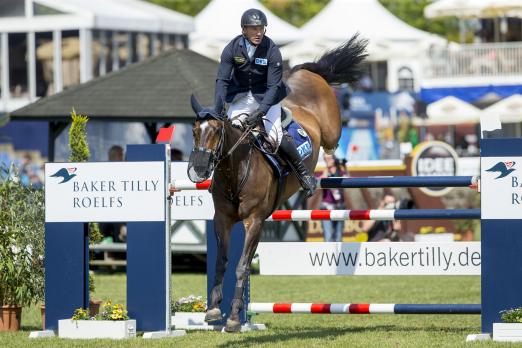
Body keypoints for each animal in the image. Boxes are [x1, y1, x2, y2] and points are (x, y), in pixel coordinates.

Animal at [188, 35, 366, 332]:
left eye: (216, 132)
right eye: (194, 132)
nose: (199, 170)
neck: (236, 170)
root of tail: (305, 72)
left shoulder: (255, 221)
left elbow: (242, 266)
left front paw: (234, 319)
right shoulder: (223, 219)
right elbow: (222, 263)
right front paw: (213, 310)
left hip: (330, 127)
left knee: (332, 139)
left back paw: (324, 166)